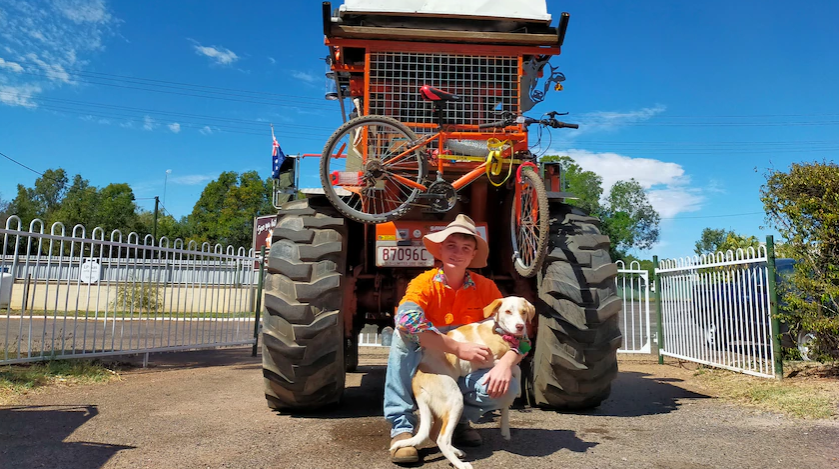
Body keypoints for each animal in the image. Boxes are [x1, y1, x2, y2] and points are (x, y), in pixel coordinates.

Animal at [388, 296, 536, 468]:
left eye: (523, 312)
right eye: (508, 312)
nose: (520, 327)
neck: (499, 333)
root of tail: (416, 383)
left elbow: (510, 386)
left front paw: (505, 428)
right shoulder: (489, 361)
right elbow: (515, 369)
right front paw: (518, 390)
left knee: (434, 433)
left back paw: (456, 451)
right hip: (455, 400)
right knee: (442, 439)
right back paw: (460, 464)